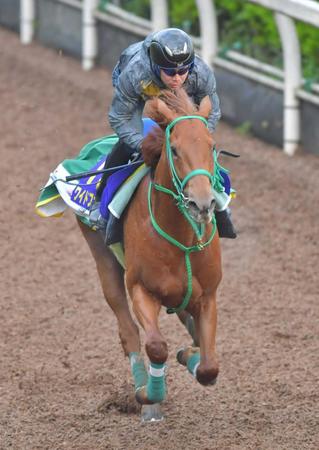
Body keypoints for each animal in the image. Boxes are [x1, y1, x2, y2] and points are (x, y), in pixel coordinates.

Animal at [77, 89, 222, 422]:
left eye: (211, 147)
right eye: (175, 150)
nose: (202, 204)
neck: (181, 239)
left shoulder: (207, 294)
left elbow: (209, 367)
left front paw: (192, 356)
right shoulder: (141, 287)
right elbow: (156, 346)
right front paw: (148, 394)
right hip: (103, 260)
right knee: (128, 331)